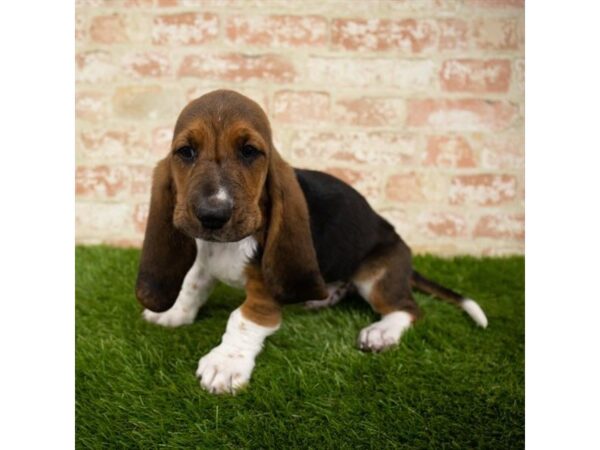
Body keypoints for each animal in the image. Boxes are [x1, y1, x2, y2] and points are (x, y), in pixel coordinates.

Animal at [136, 88, 488, 394]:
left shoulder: (265, 289)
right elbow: (193, 282)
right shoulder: (203, 256)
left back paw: (381, 332)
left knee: (408, 309)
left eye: (249, 152)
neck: (223, 245)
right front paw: (176, 312)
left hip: (377, 275)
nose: (212, 214)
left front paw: (225, 363)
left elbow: (243, 319)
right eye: (186, 152)